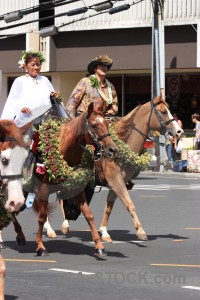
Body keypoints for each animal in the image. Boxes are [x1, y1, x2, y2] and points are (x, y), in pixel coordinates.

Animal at [30, 102, 119, 255]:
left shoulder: (76, 188)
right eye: (94, 125)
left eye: (107, 123)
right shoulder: (43, 190)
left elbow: (88, 214)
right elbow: (41, 217)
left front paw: (99, 246)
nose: (112, 150)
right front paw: (40, 246)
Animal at [57, 95, 183, 243]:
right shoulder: (116, 183)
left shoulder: (116, 184)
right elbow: (130, 205)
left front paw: (104, 232)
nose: (179, 131)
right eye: (163, 112)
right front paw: (140, 231)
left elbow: (109, 207)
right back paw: (57, 227)